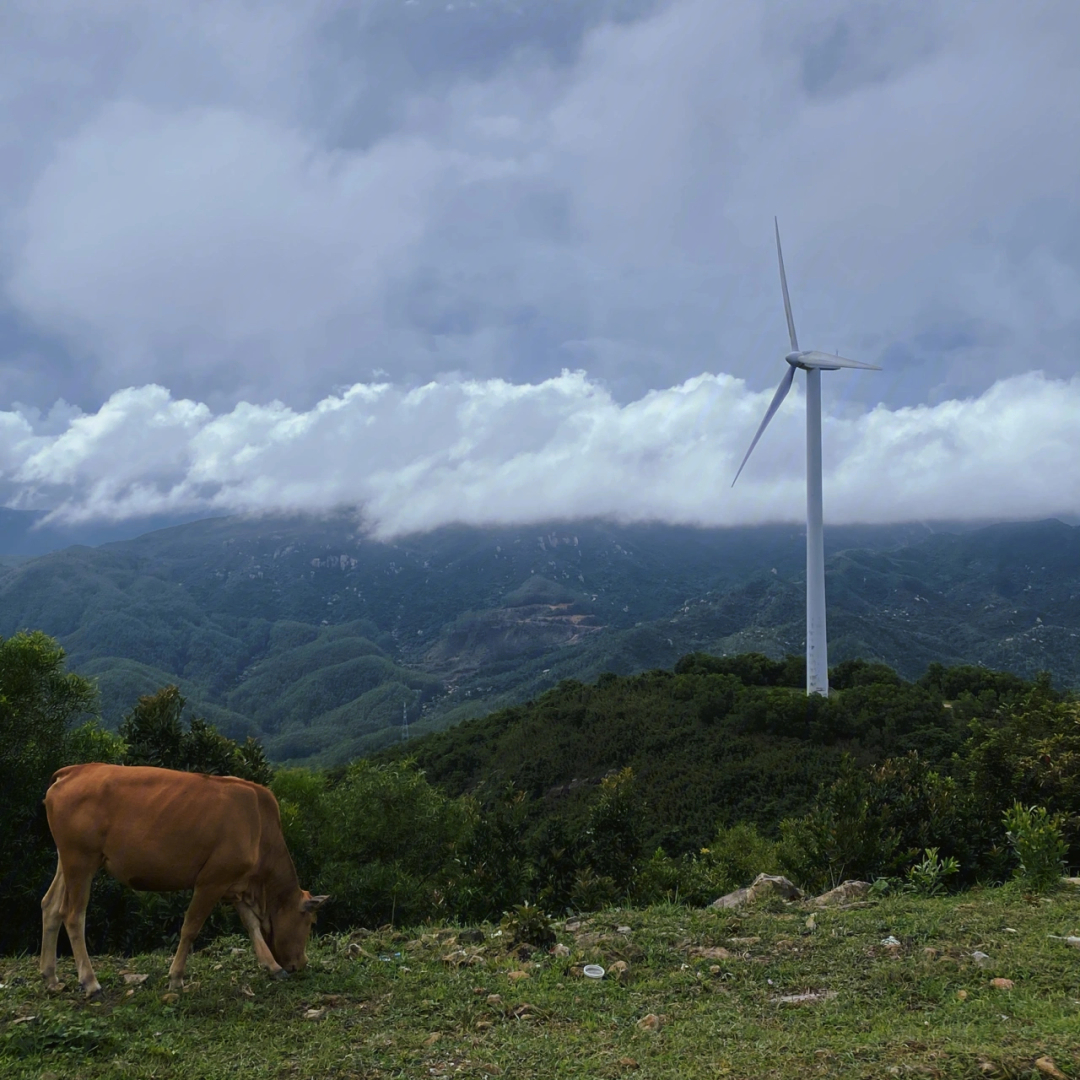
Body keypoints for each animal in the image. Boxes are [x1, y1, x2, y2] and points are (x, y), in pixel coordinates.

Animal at [39, 760, 326, 993]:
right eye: (310, 922)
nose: (302, 963)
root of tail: (74, 771)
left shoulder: (236, 884)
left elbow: (252, 925)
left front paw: (272, 966)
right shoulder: (212, 881)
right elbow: (190, 927)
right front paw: (176, 977)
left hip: (67, 859)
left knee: (50, 906)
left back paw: (51, 977)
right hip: (81, 859)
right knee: (73, 915)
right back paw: (90, 981)